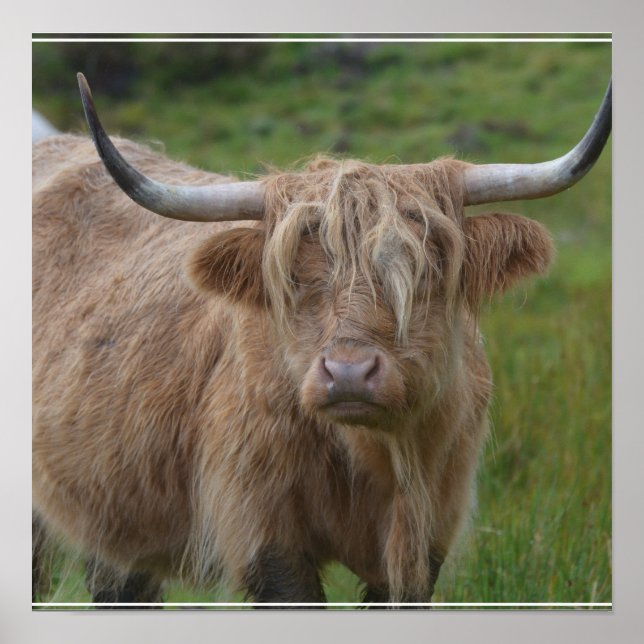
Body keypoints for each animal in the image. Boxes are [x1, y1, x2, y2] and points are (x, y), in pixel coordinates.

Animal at [32, 73, 611, 607]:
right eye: (293, 278)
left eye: (422, 272)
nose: (349, 373)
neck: (375, 457)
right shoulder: (266, 533)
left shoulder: (425, 539)